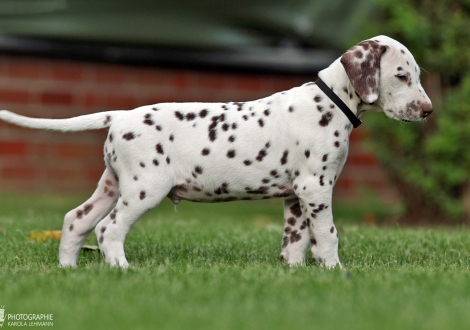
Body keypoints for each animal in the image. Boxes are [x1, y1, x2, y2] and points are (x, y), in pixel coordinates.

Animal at [0, 36, 434, 268]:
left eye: (415, 75)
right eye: (401, 76)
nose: (428, 110)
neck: (330, 101)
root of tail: (121, 115)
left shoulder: (296, 197)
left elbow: (295, 241)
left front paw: (295, 273)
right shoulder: (315, 189)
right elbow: (327, 235)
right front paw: (335, 271)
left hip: (112, 185)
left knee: (77, 220)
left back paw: (68, 269)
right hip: (144, 189)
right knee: (108, 229)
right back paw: (122, 269)